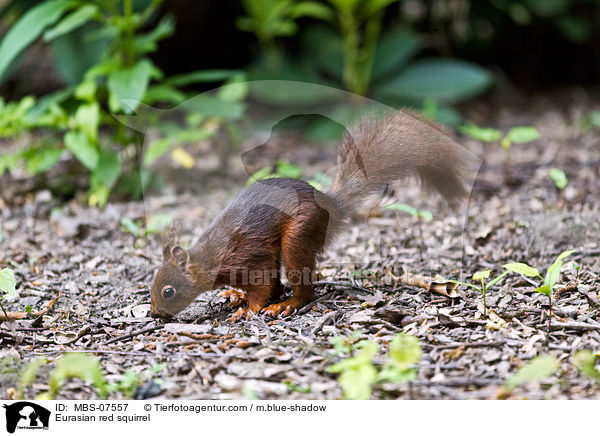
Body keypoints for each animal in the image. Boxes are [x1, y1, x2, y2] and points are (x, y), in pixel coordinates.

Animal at [149, 109, 464, 320]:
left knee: (301, 287)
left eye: (168, 291)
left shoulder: (248, 258)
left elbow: (263, 286)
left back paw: (286, 304)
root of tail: (330, 205)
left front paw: (249, 310)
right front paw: (239, 298)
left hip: (299, 235)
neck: (211, 256)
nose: (154, 314)